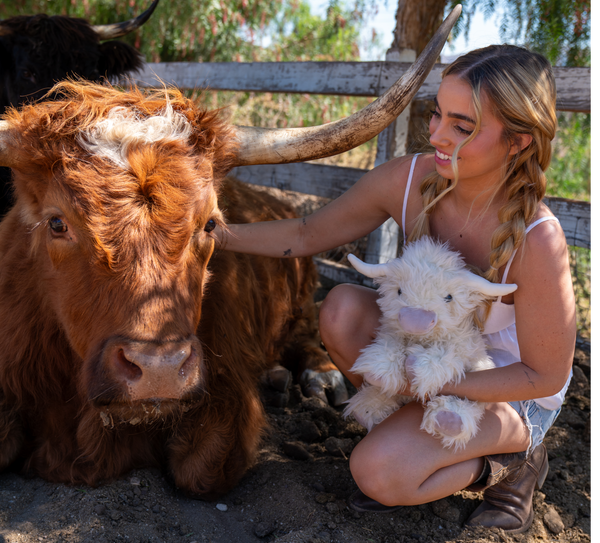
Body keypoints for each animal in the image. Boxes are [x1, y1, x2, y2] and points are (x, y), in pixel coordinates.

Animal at [342, 238, 516, 450]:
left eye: (449, 297)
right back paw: (369, 408)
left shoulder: (461, 345)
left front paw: (417, 368)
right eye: (399, 291)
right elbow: (390, 343)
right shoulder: (392, 332)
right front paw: (379, 370)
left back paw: (450, 419)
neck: (422, 340)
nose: (415, 319)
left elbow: (446, 357)